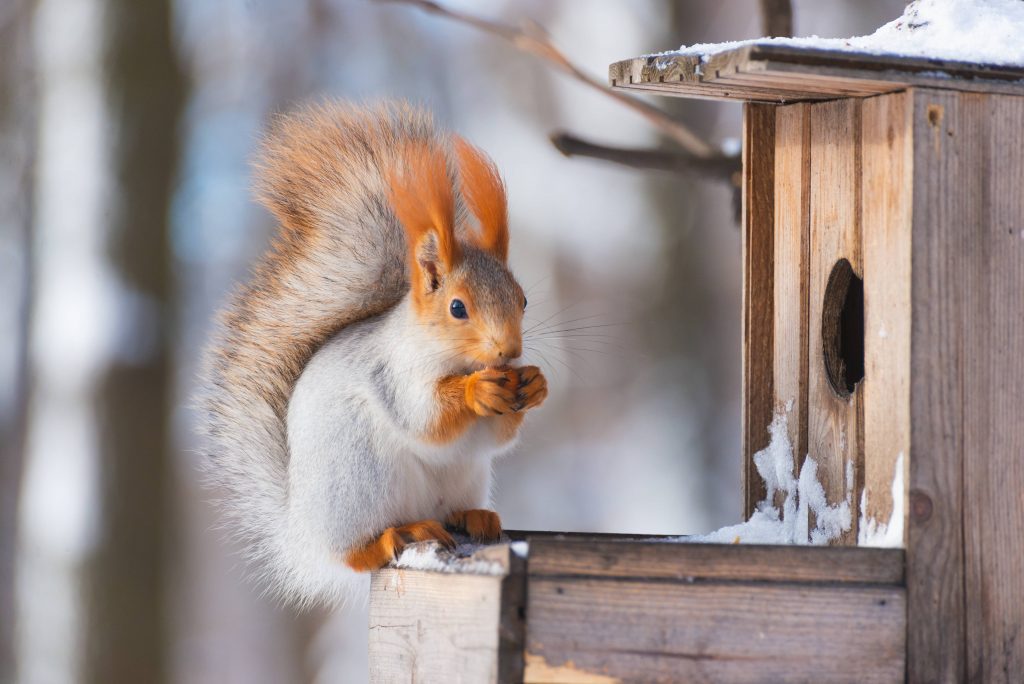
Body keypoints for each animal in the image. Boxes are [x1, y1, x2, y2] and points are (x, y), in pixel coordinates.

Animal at [198, 101, 547, 606]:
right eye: (457, 307)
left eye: (522, 300)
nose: (509, 350)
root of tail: (302, 536)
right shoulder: (392, 372)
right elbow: (425, 418)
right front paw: (475, 391)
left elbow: (496, 436)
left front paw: (534, 384)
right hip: (357, 481)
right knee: (355, 553)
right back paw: (392, 537)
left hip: (463, 479)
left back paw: (473, 517)